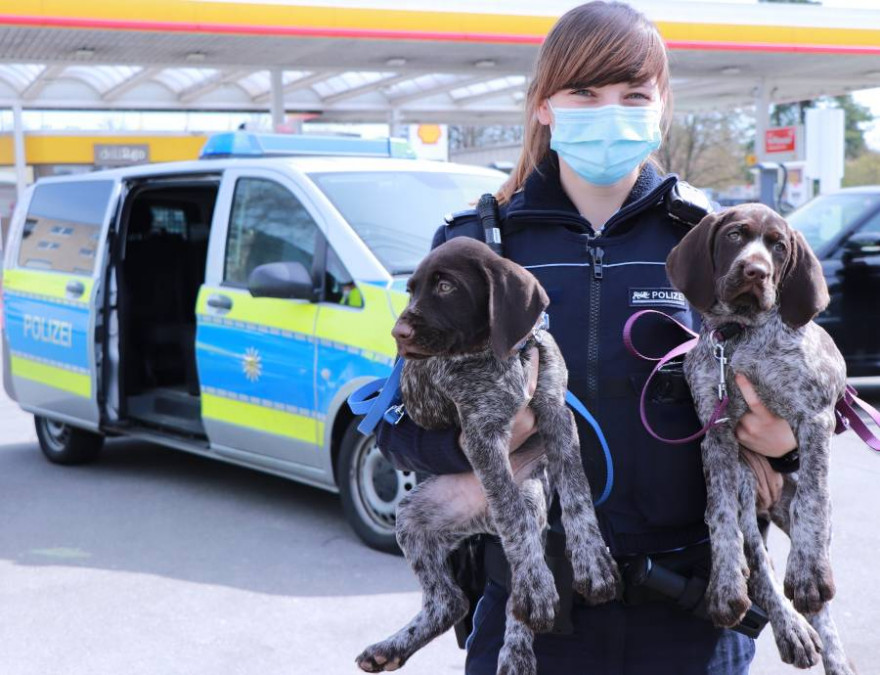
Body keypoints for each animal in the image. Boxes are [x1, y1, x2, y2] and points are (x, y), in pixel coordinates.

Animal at [356, 238, 620, 675]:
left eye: (446, 286)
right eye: (411, 290)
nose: (398, 333)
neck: (504, 355)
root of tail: (482, 520)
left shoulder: (556, 412)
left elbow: (578, 492)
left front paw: (593, 562)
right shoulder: (481, 434)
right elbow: (513, 516)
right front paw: (542, 586)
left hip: (532, 492)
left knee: (502, 587)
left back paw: (517, 653)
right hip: (412, 517)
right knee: (456, 598)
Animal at [672, 205, 856, 675]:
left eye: (778, 246)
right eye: (735, 235)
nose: (756, 271)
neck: (740, 337)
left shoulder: (815, 417)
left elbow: (813, 498)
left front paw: (808, 575)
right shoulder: (717, 435)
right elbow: (719, 516)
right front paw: (724, 587)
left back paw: (830, 649)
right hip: (745, 478)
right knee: (757, 558)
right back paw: (788, 626)